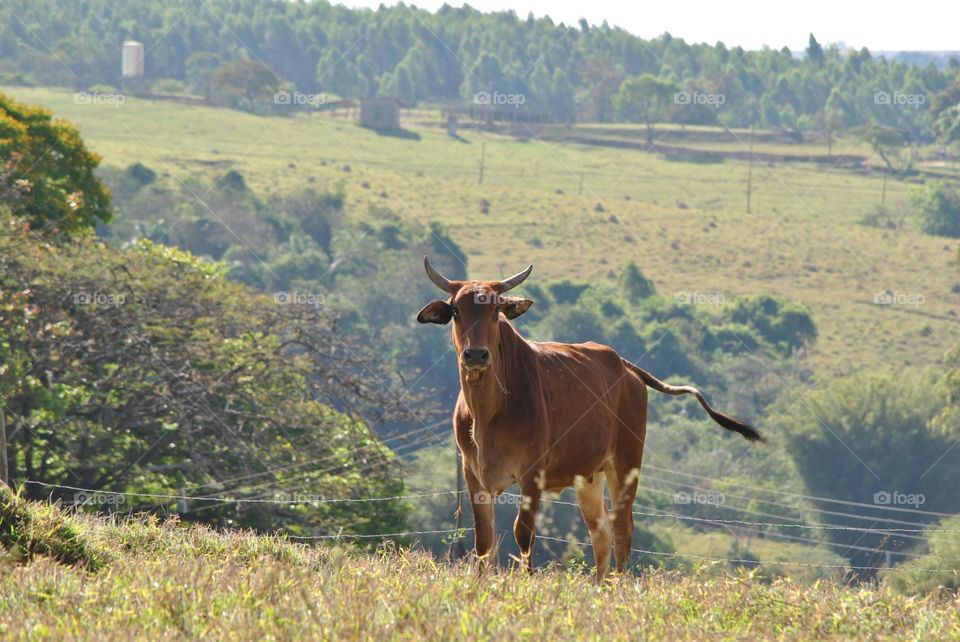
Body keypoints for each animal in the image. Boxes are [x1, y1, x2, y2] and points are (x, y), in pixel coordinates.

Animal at [416, 256, 763, 579]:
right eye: (456, 311)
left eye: (495, 311)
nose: (476, 354)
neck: (488, 413)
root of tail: (624, 366)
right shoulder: (473, 474)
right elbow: (484, 540)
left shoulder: (532, 473)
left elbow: (523, 532)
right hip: (590, 477)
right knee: (600, 534)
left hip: (626, 463)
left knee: (622, 528)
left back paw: (618, 586)